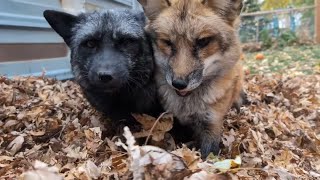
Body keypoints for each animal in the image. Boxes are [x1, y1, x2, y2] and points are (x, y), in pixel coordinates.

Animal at [138, 0, 245, 158]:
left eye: (203, 41)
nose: (179, 84)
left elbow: (208, 159)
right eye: (167, 42)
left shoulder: (212, 125)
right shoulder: (172, 119)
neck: (187, 107)